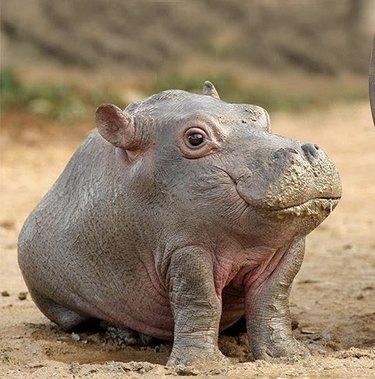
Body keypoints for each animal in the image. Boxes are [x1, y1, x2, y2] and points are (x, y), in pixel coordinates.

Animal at [17, 82, 342, 366]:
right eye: (195, 138)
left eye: (260, 113)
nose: (306, 151)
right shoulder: (186, 251)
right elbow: (200, 301)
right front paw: (203, 364)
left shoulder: (285, 250)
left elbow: (272, 301)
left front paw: (289, 356)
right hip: (59, 301)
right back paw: (128, 335)